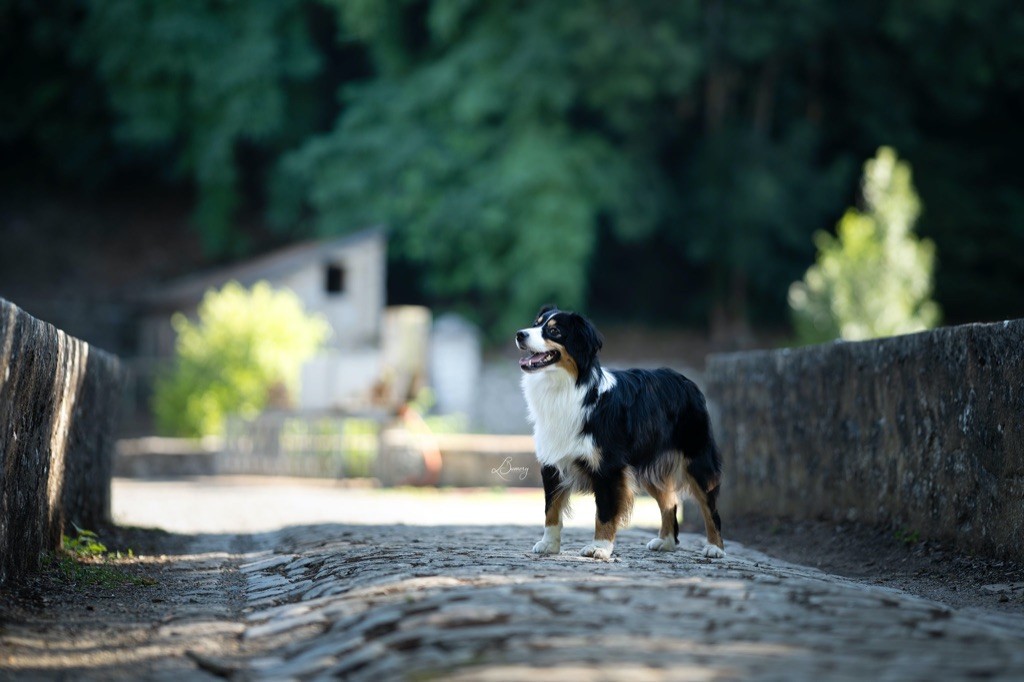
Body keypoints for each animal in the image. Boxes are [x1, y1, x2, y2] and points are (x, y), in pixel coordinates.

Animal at [516, 303, 724, 557]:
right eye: (535, 324)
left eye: (554, 331)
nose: (520, 334)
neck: (567, 388)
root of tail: (687, 382)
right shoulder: (552, 462)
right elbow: (551, 509)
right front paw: (549, 545)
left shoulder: (609, 467)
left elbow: (604, 511)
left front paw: (600, 547)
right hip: (647, 464)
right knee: (670, 501)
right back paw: (665, 542)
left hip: (697, 459)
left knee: (709, 505)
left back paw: (715, 548)